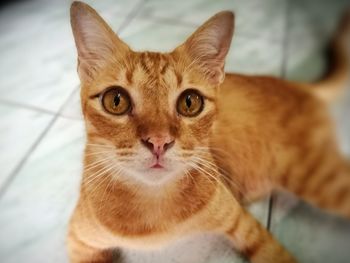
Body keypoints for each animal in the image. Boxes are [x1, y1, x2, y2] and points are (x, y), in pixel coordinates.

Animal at [68, 2, 350, 263]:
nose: (159, 141)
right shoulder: (78, 241)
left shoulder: (245, 225)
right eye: (116, 100)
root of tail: (297, 85)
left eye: (190, 102)